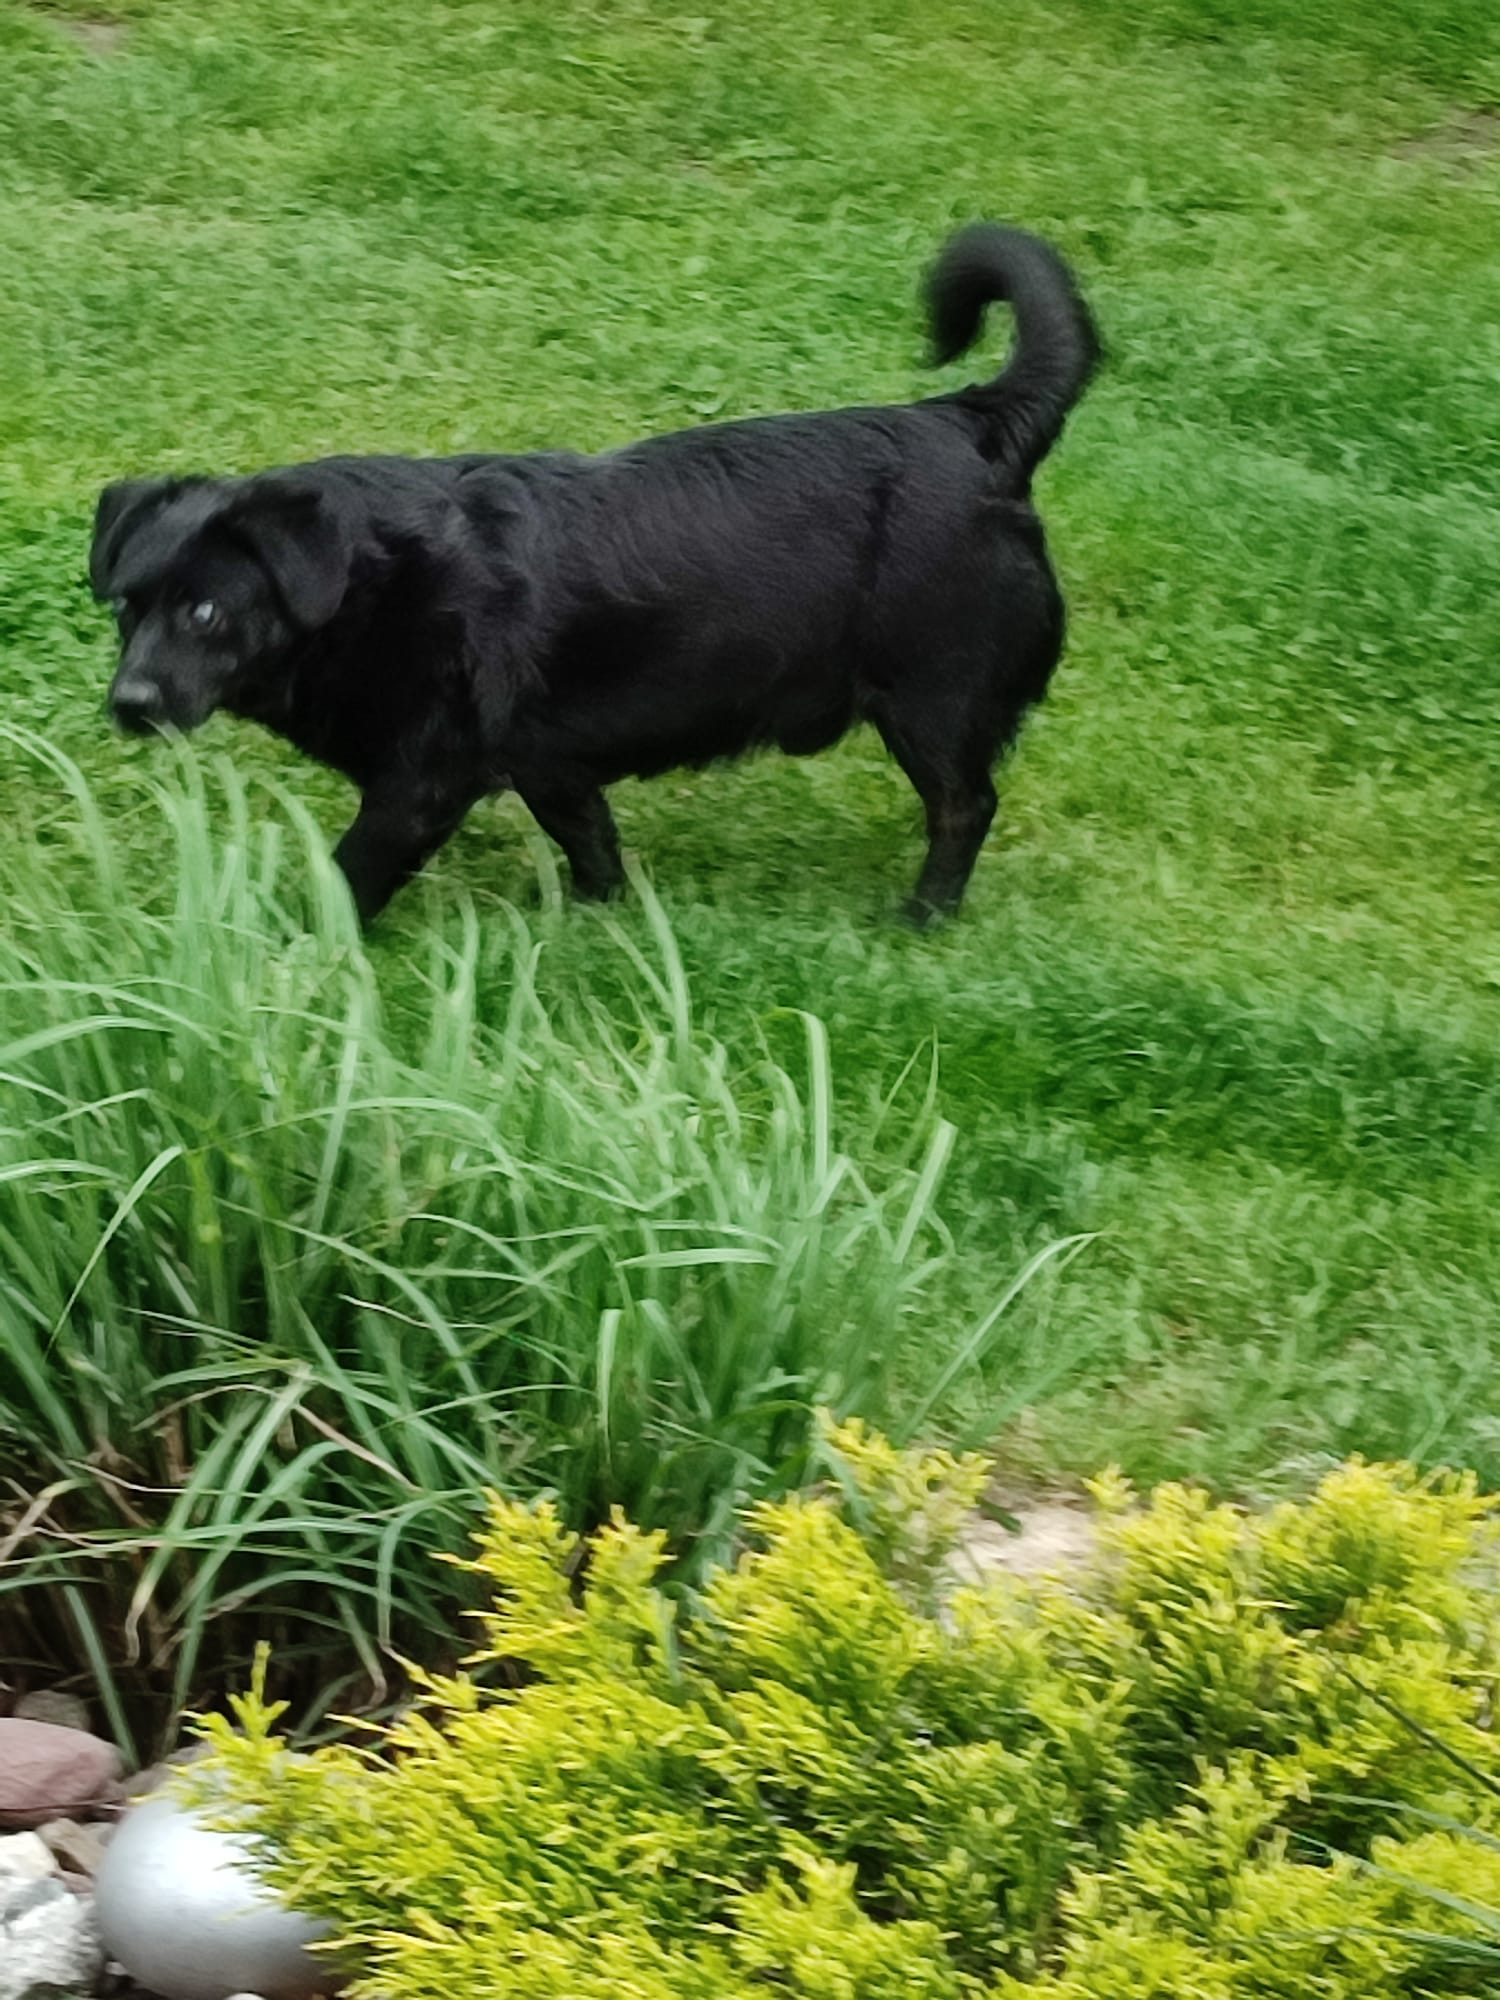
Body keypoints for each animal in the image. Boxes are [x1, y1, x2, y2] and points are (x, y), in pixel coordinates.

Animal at [91, 223, 1098, 926]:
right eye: (127, 611)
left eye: (207, 611)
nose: (128, 704)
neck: (364, 587)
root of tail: (971, 423)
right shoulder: (552, 763)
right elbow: (593, 842)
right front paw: (596, 919)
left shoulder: (418, 790)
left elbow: (345, 883)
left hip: (935, 705)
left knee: (966, 808)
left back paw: (923, 918)